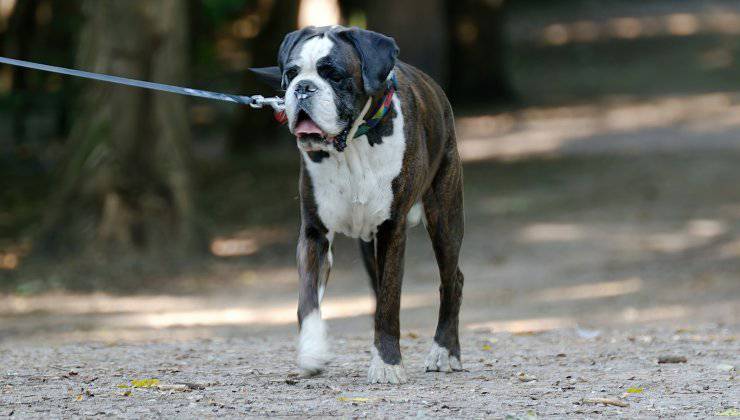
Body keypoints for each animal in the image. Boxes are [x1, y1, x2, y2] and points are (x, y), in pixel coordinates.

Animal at [251, 23, 466, 384]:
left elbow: (390, 301)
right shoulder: (314, 234)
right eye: (291, 73)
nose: (303, 88)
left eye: (335, 75)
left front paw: (387, 364)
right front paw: (312, 350)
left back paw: (445, 351)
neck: (351, 146)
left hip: (444, 218)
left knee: (453, 279)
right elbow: (307, 299)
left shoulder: (392, 230)